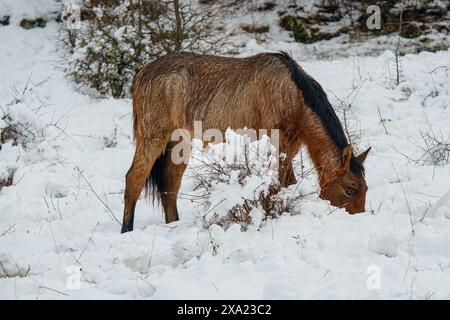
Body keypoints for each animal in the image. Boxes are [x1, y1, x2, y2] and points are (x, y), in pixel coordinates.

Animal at [120, 52, 370, 232]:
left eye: (365, 188)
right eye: (350, 190)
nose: (359, 220)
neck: (292, 96)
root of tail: (142, 73)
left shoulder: (289, 150)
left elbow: (288, 184)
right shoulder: (274, 148)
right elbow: (277, 186)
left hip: (179, 143)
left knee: (169, 186)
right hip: (153, 137)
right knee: (134, 179)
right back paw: (126, 230)